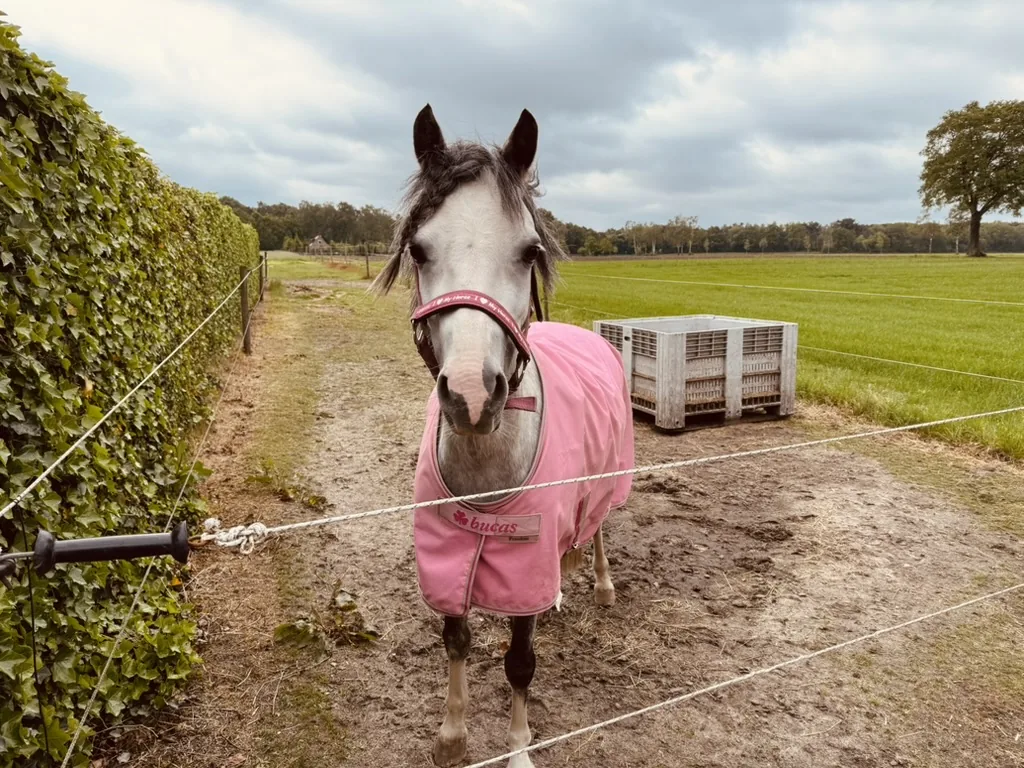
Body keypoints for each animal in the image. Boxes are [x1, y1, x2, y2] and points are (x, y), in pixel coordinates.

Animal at [373, 105, 635, 768]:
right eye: (419, 249)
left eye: (528, 251)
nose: (471, 394)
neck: (487, 472)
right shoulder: (448, 561)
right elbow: (456, 637)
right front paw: (452, 734)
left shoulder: (524, 567)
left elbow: (519, 662)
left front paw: (517, 751)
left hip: (608, 480)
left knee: (599, 527)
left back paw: (601, 585)